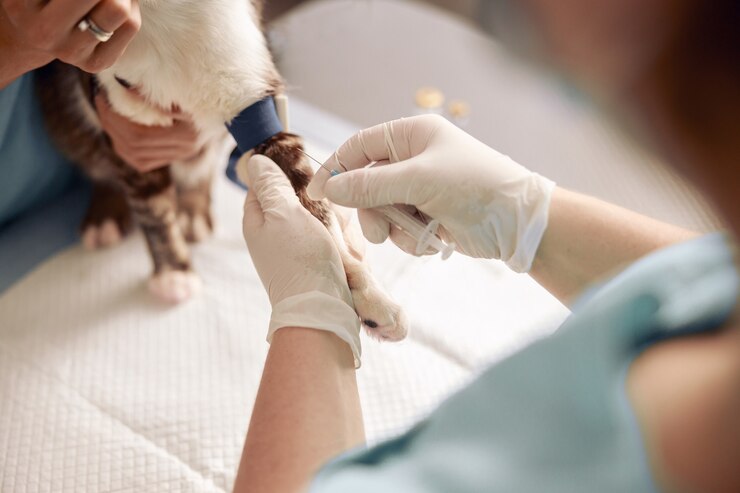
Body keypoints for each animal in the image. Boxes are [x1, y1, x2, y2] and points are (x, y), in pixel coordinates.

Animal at [33, 0, 410, 342]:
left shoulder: (251, 92)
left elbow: (315, 209)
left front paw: (369, 296)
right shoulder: (126, 126)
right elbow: (153, 209)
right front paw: (174, 272)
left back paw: (193, 209)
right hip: (61, 111)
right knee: (96, 161)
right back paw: (106, 215)